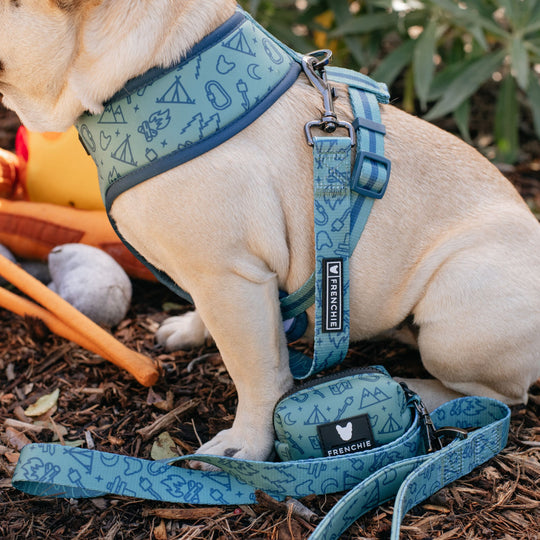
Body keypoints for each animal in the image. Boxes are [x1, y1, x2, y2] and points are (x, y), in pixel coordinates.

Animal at [1, 0, 539, 466]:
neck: (145, 73)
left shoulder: (229, 278)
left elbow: (255, 372)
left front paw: (245, 443)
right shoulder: (220, 279)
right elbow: (214, 320)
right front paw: (190, 329)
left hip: (455, 321)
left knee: (503, 395)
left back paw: (415, 389)